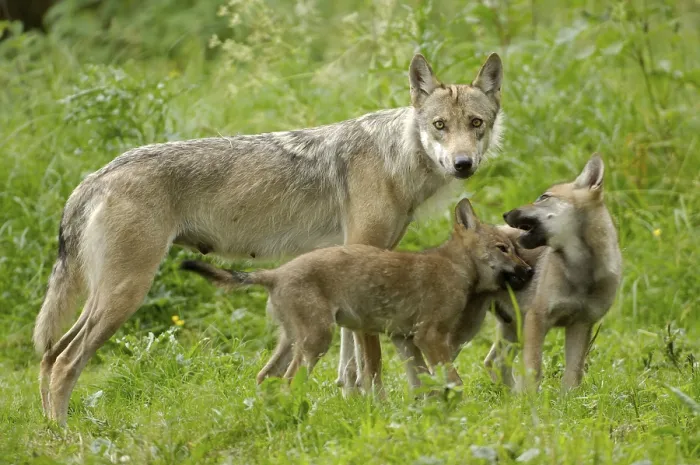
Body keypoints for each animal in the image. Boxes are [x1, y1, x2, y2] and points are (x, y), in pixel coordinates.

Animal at [181, 199, 532, 390]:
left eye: (516, 249)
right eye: (504, 249)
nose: (529, 271)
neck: (455, 266)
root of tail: (275, 273)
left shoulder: (404, 338)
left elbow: (423, 384)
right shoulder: (429, 336)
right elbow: (452, 380)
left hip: (293, 342)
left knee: (264, 377)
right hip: (316, 342)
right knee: (289, 381)